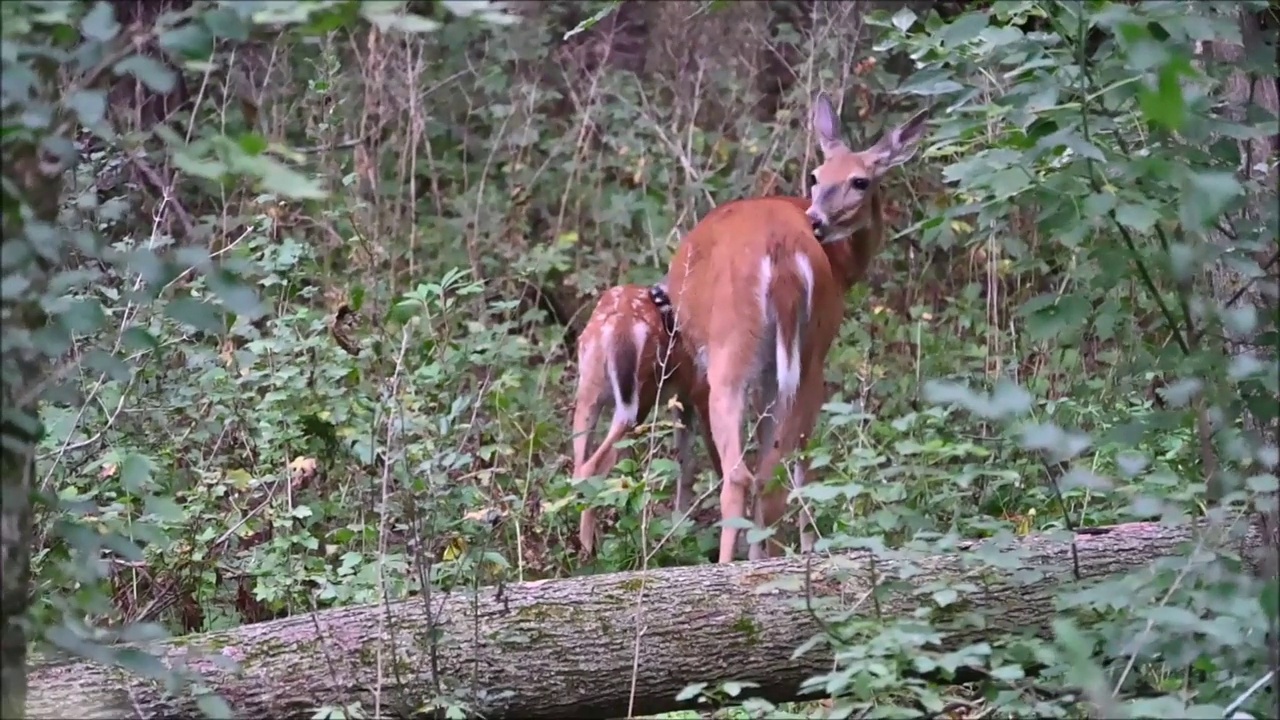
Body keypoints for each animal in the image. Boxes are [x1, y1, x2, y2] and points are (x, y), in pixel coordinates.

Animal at [570, 280, 721, 556]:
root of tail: (618, 324)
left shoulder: (682, 397)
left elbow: (685, 463)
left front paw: (679, 531)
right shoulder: (704, 390)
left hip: (589, 390)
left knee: (580, 463)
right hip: (641, 393)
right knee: (593, 466)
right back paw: (591, 553)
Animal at [665, 92, 926, 561]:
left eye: (861, 181)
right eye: (816, 175)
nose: (818, 218)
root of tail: (783, 255)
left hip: (734, 353)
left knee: (741, 473)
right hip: (809, 351)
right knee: (775, 467)